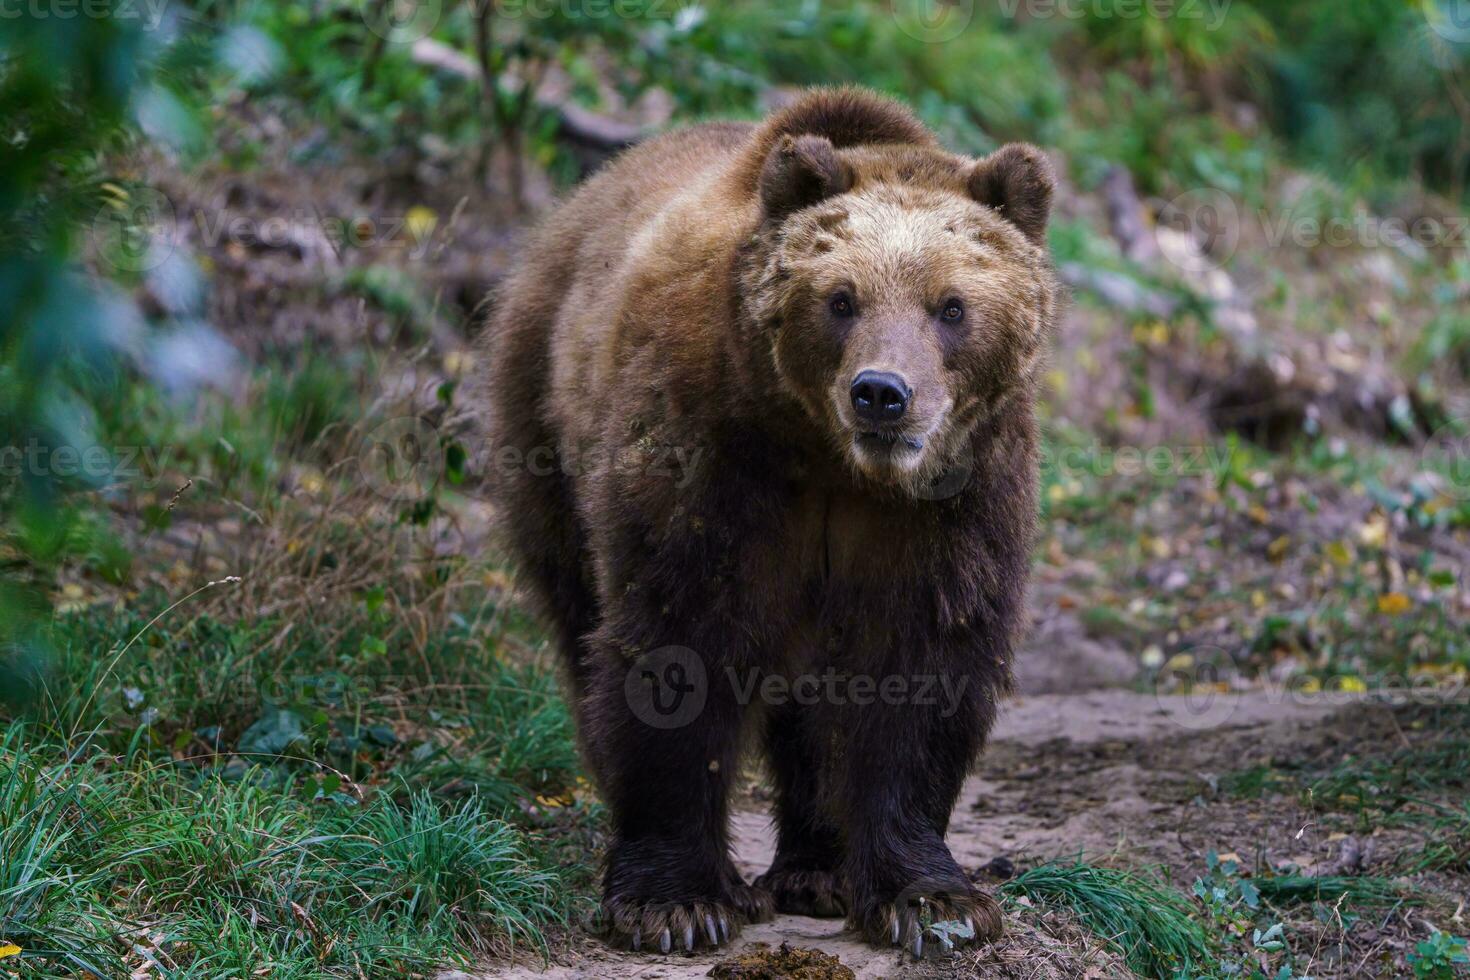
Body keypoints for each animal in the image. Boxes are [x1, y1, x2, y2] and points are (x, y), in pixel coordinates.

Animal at [479, 86, 1058, 957]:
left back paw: (817, 871)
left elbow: (923, 664)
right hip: (541, 419)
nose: (882, 393)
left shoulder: (954, 501)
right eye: (841, 298)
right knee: (580, 616)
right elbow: (680, 644)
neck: (831, 461)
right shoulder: (712, 456)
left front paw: (932, 901)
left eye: (951, 306)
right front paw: (677, 902)